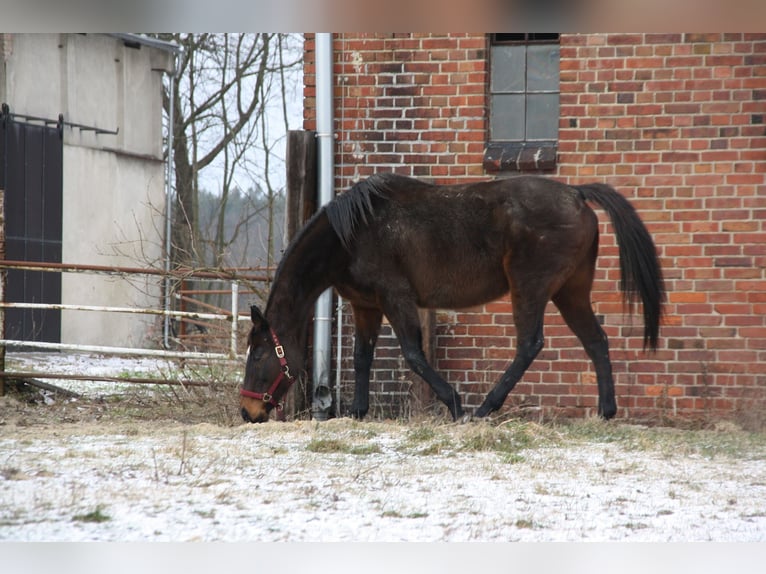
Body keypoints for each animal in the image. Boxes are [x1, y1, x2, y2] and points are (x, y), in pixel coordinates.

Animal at [240, 173, 664, 426]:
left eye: (258, 355)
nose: (248, 411)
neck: (350, 235)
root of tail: (576, 193)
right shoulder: (366, 306)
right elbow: (362, 357)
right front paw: (358, 413)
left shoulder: (396, 297)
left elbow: (414, 354)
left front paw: (455, 404)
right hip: (570, 292)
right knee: (596, 341)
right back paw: (606, 412)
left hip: (531, 288)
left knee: (530, 344)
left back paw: (483, 408)